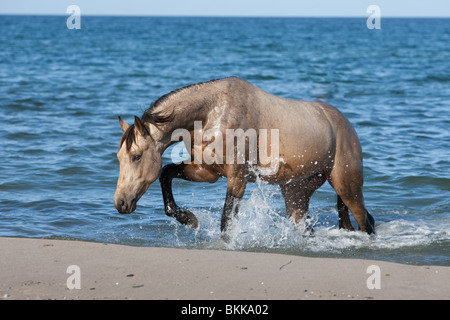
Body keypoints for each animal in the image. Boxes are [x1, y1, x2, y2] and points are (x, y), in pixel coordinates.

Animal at [113, 76, 376, 234]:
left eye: (136, 156)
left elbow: (226, 220)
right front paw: (188, 218)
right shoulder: (206, 172)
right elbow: (166, 173)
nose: (120, 203)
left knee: (366, 222)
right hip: (296, 195)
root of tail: (346, 126)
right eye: (118, 158)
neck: (213, 114)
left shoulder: (237, 179)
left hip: (347, 188)